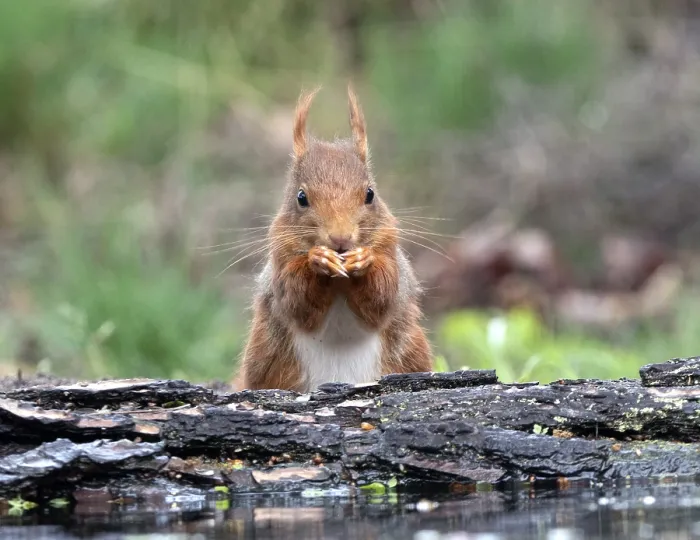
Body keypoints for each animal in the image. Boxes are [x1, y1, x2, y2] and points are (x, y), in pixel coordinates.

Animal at [233, 85, 433, 393]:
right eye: (301, 198)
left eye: (370, 194)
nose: (340, 238)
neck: (339, 281)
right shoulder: (281, 252)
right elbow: (295, 299)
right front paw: (318, 260)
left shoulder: (389, 246)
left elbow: (384, 294)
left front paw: (364, 260)